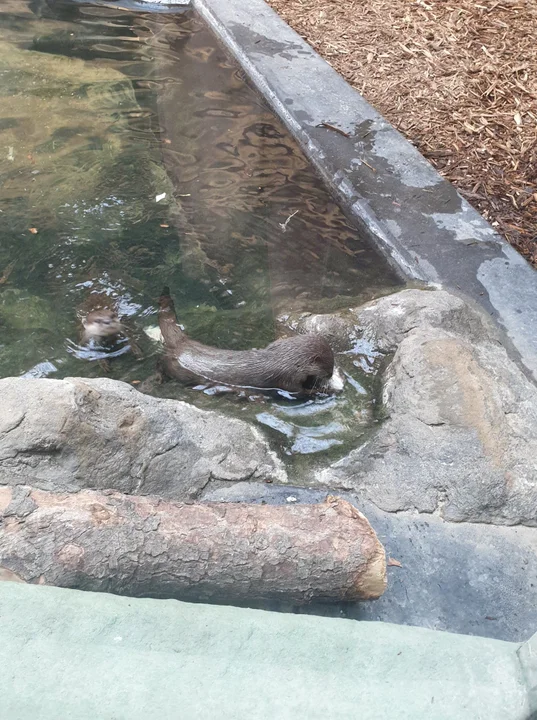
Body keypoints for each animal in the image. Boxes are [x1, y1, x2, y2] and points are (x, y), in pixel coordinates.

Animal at [157, 286, 340, 394]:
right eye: (328, 368)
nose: (331, 375)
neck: (287, 359)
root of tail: (182, 342)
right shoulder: (288, 379)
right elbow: (299, 391)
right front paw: (319, 392)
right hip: (173, 367)